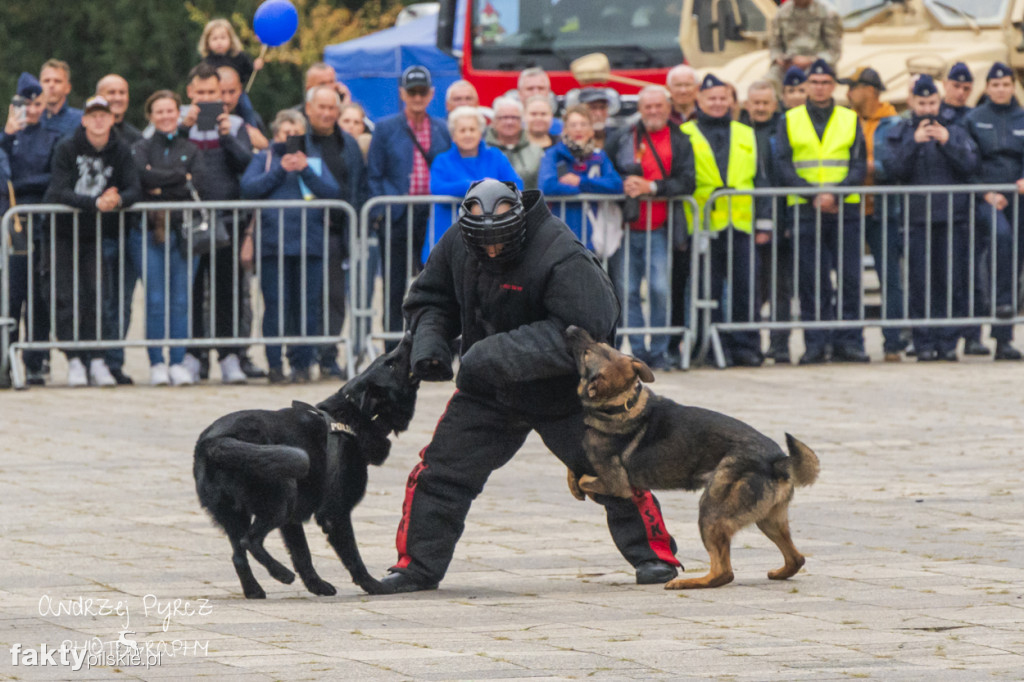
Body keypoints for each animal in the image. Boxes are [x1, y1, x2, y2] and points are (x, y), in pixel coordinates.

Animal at [193, 333, 417, 593]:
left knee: (238, 554)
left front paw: (316, 585)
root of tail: (214, 441)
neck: (353, 419)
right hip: (282, 497)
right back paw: (280, 573)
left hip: (235, 514)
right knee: (250, 540)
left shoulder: (293, 521)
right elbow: (353, 556)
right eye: (390, 364)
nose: (408, 335)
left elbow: (303, 555)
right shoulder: (335, 514)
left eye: (387, 357)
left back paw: (254, 590)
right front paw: (372, 585)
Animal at [565, 327, 819, 585]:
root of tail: (777, 460)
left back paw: (688, 582)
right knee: (796, 558)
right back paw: (779, 572)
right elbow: (574, 470)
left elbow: (586, 479)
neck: (621, 402)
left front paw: (585, 489)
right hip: (768, 520)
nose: (571, 329)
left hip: (711, 512)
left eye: (587, 352)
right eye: (599, 345)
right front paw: (574, 482)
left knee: (723, 572)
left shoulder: (617, 484)